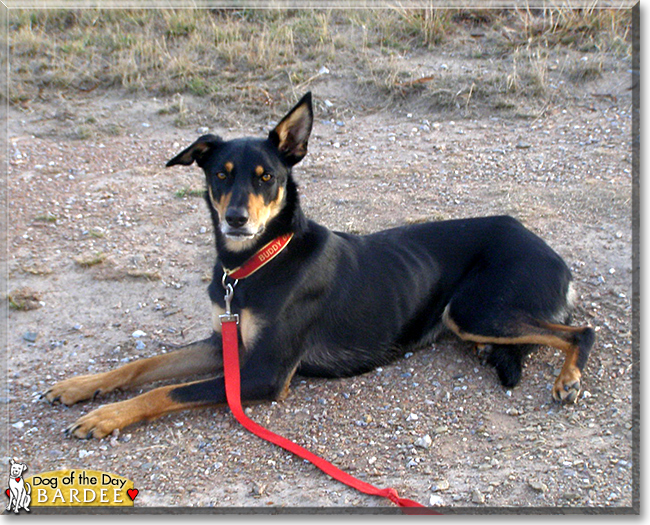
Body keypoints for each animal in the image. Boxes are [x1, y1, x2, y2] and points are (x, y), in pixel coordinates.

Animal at [44, 91, 592, 438]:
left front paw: (106, 416)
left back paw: (567, 379)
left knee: (581, 332)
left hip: (474, 308)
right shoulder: (226, 342)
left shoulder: (263, 373)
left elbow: (168, 391)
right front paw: (81, 386)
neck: (256, 263)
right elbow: (146, 365)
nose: (237, 219)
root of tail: (546, 247)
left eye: (266, 176)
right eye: (221, 174)